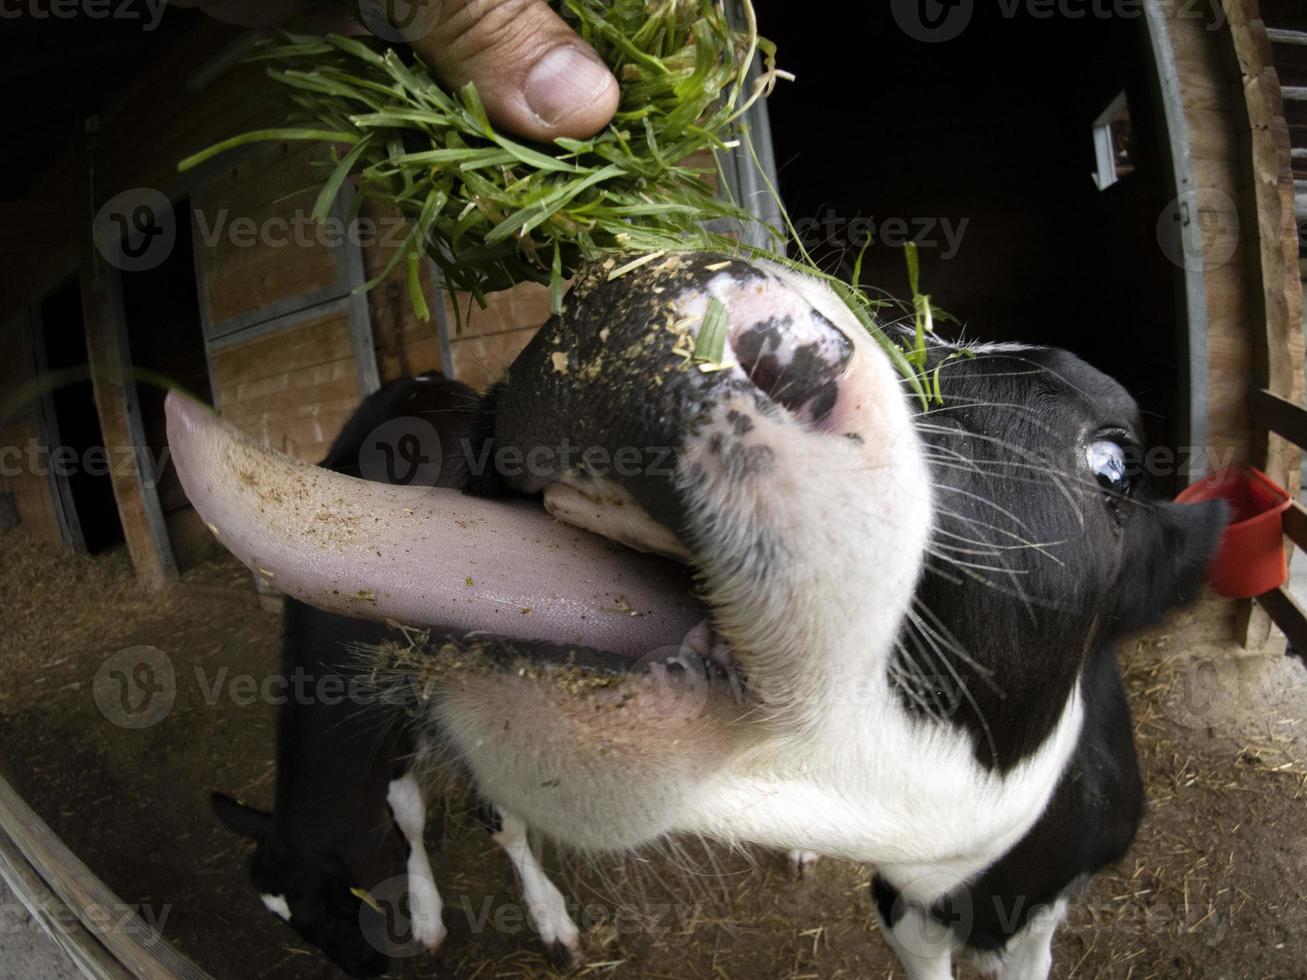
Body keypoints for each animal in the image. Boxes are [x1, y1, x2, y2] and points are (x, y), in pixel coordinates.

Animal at [209, 371, 577, 977]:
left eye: (321, 911)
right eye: (293, 929)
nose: (365, 970)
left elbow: (503, 821)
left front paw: (549, 915)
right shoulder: (387, 724)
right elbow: (405, 813)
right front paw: (426, 913)